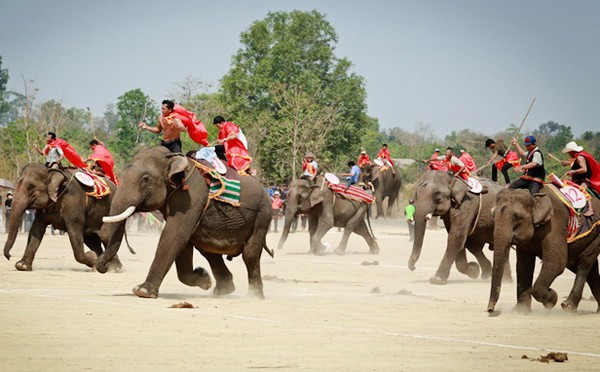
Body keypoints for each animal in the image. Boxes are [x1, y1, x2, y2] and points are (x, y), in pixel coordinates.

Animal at [96, 145, 272, 300]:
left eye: (145, 179)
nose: (105, 267)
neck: (172, 160)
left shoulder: (191, 197)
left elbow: (174, 235)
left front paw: (142, 291)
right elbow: (183, 242)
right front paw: (204, 278)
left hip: (262, 215)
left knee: (249, 254)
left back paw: (255, 296)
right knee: (208, 249)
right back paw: (222, 290)